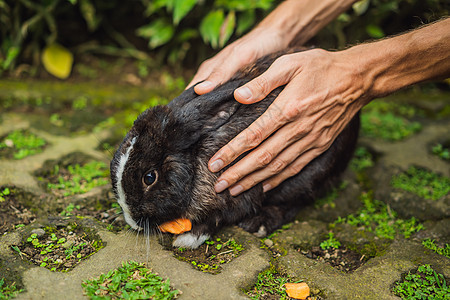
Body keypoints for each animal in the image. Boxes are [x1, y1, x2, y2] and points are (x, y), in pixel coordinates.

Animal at [109, 49, 358, 248]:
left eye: (149, 177)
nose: (131, 221)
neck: (196, 160)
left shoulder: (238, 192)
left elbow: (219, 218)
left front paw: (188, 239)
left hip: (304, 175)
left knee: (295, 202)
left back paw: (259, 224)